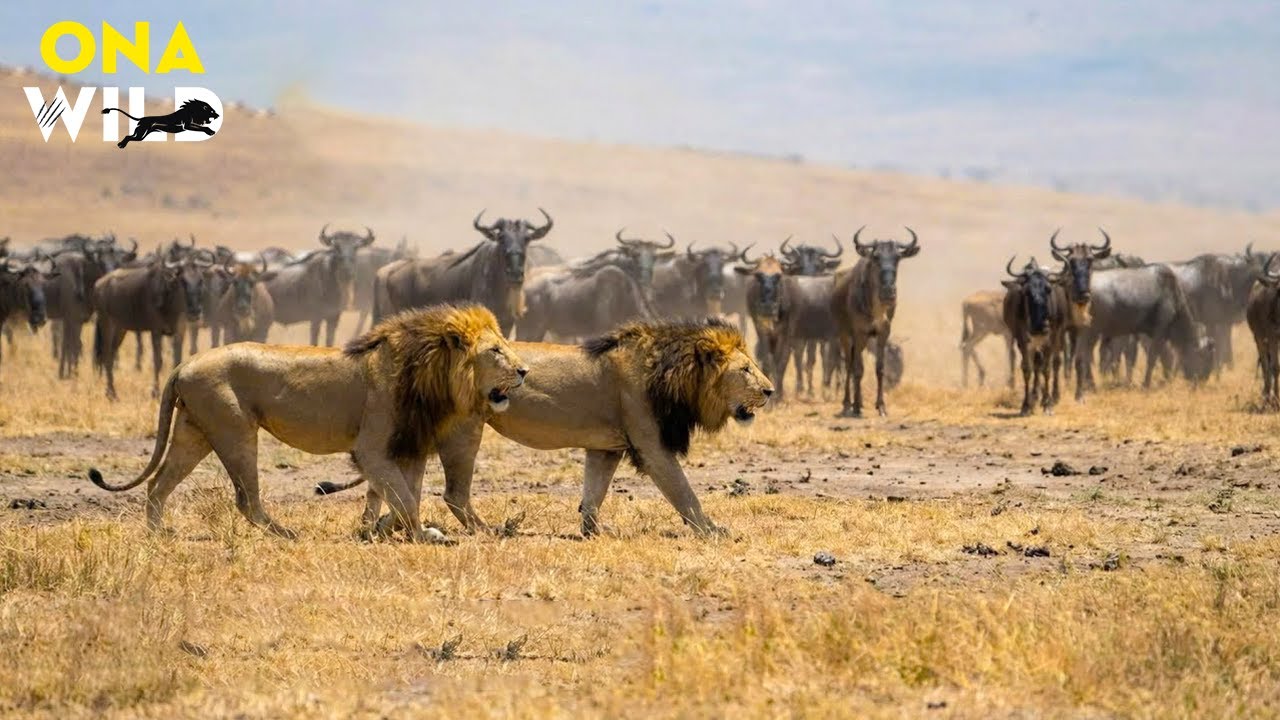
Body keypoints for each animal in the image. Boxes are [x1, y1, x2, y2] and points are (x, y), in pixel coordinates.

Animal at [88, 304, 527, 541]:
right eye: (495, 351)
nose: (524, 371)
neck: (432, 374)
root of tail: (184, 364)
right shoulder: (373, 449)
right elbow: (404, 499)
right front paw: (423, 536)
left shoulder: (409, 447)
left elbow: (405, 498)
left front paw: (378, 531)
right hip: (234, 430)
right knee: (246, 499)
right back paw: (286, 534)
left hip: (193, 432)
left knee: (159, 485)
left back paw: (158, 534)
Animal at [318, 317, 774, 537]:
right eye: (746, 369)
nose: (770, 390)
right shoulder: (652, 444)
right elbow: (684, 493)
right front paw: (713, 531)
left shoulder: (606, 447)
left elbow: (594, 494)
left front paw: (594, 531)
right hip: (465, 432)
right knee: (452, 494)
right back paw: (488, 531)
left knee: (384, 485)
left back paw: (373, 527)